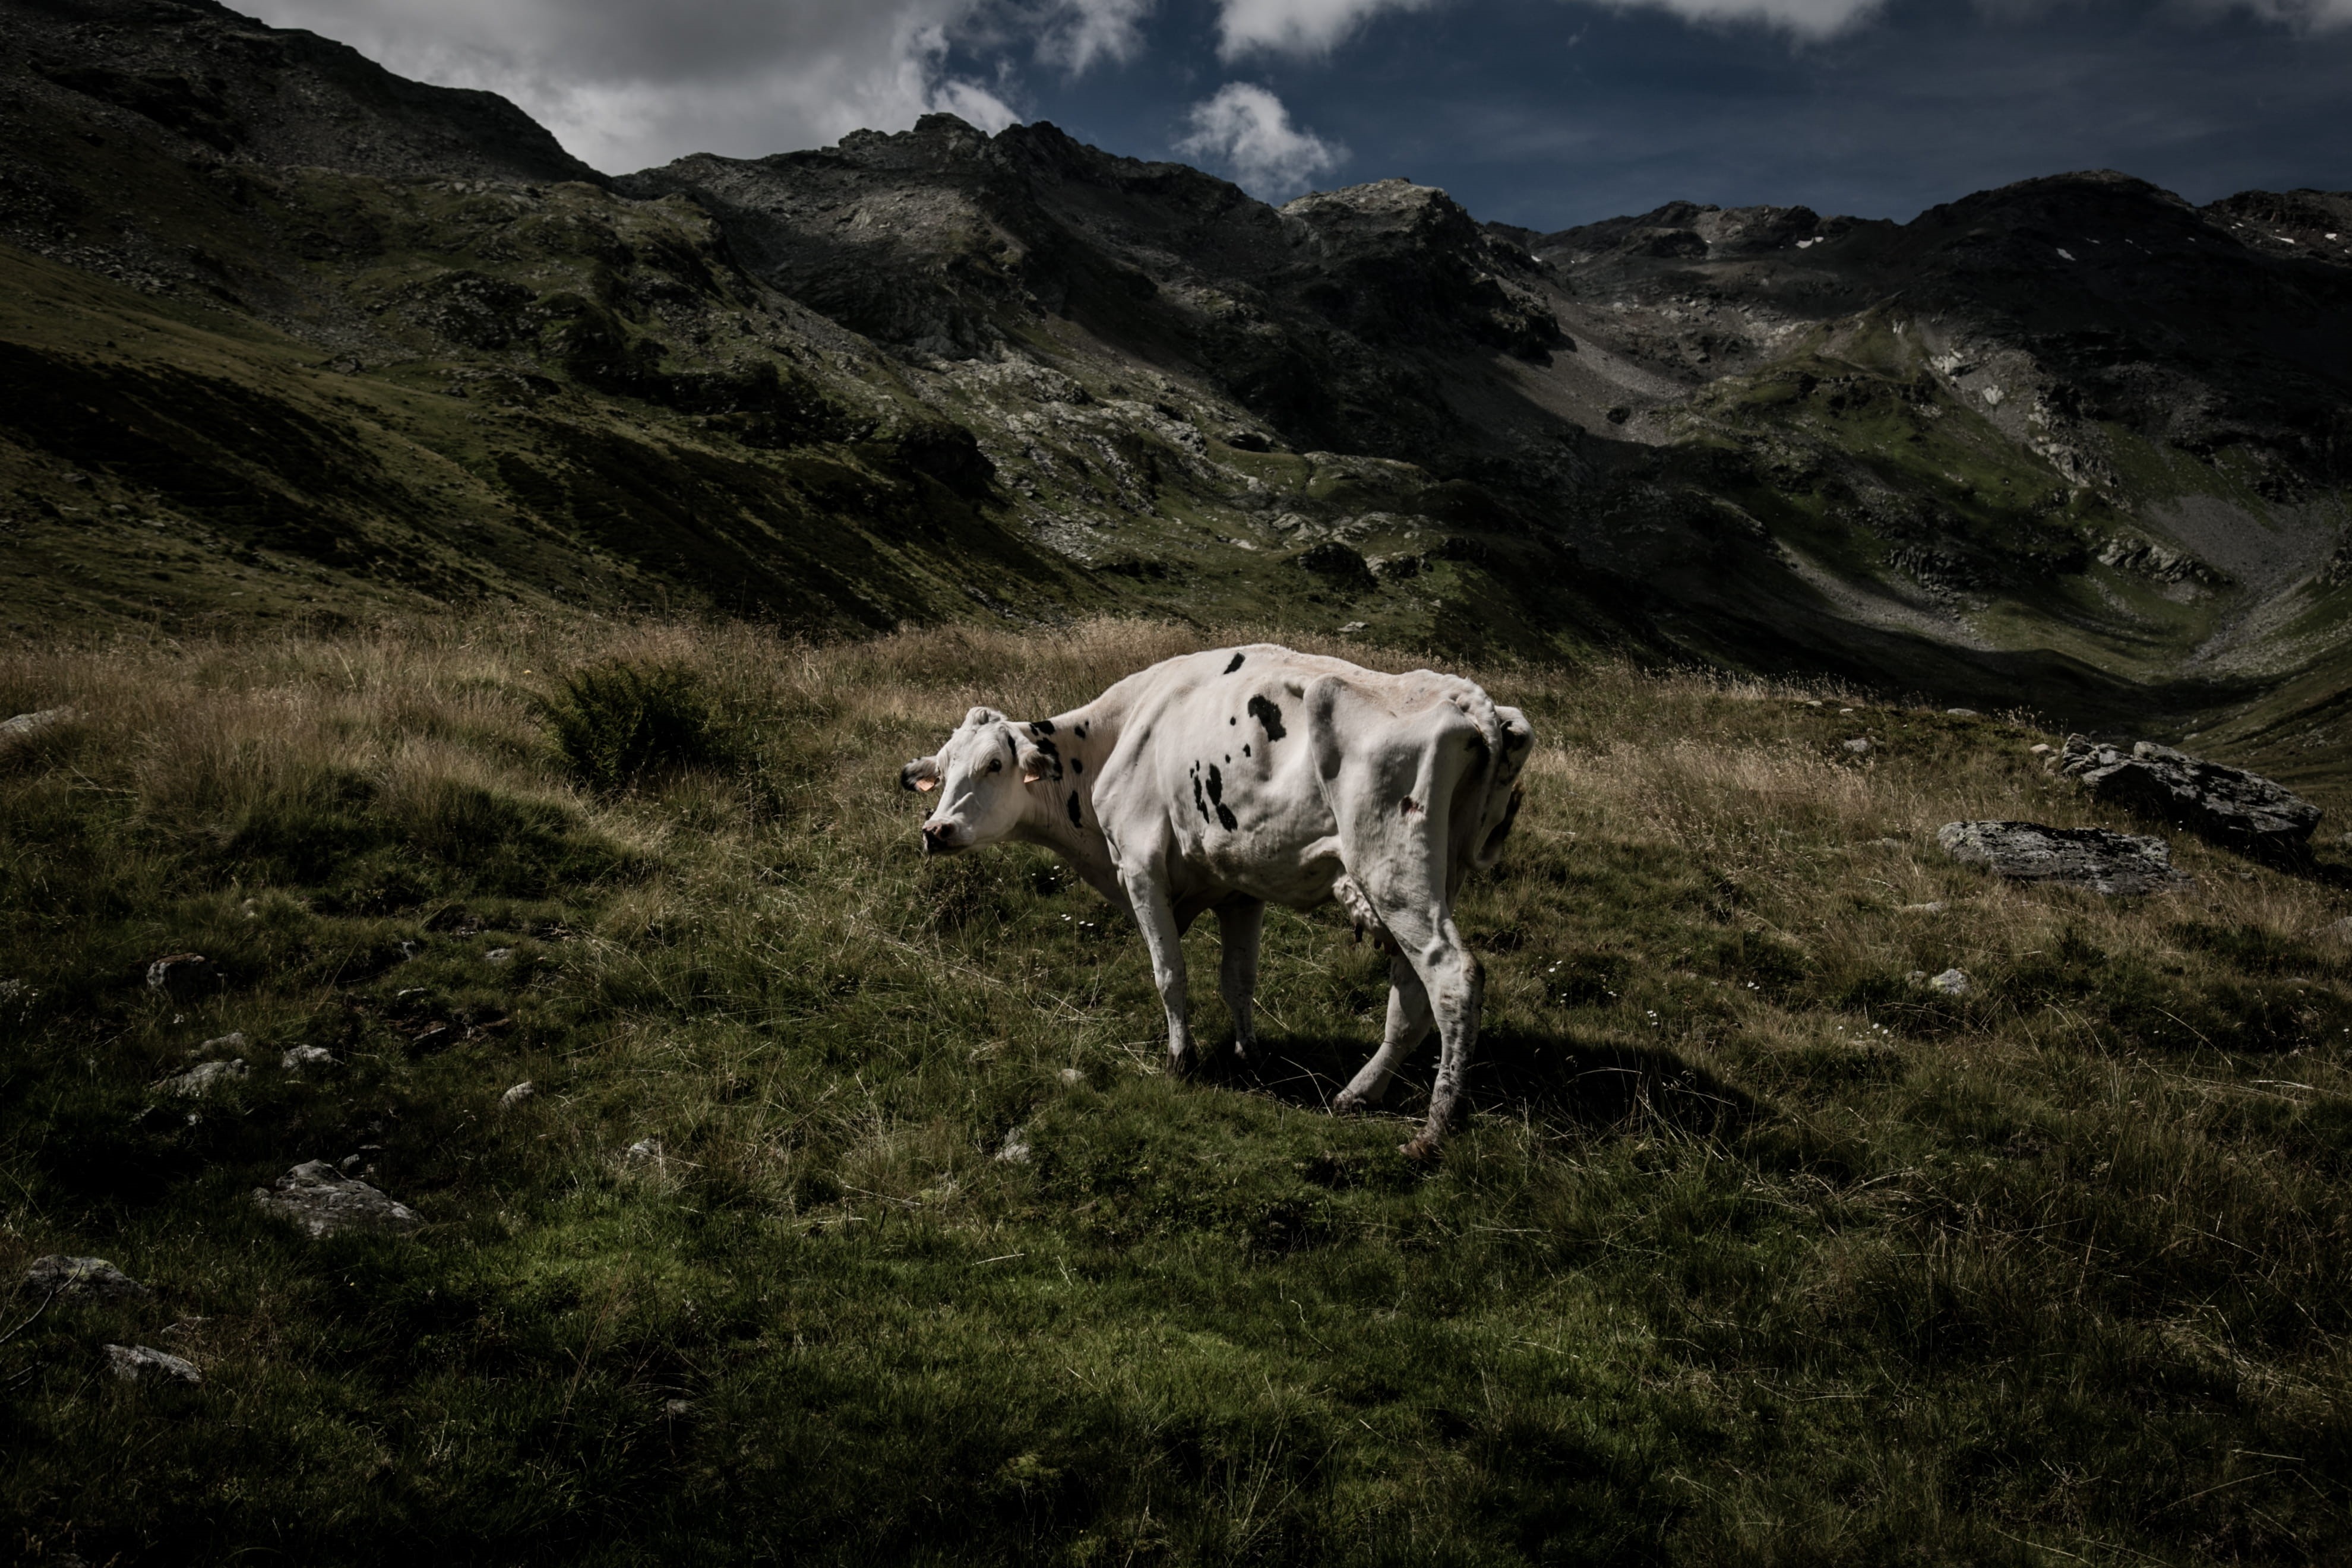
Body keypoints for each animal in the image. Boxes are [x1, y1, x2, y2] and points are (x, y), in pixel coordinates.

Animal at [899, 644, 1534, 1157]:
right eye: (945, 767)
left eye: (994, 765)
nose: (936, 830)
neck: (1121, 735)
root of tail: (1466, 696)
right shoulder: (1240, 890)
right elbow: (1239, 979)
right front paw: (1247, 1054)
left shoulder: (1140, 867)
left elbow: (1170, 973)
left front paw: (1181, 1060)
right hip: (1426, 880)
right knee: (1412, 994)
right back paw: (1358, 1093)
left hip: (1393, 872)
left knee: (1453, 977)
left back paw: (1435, 1129)